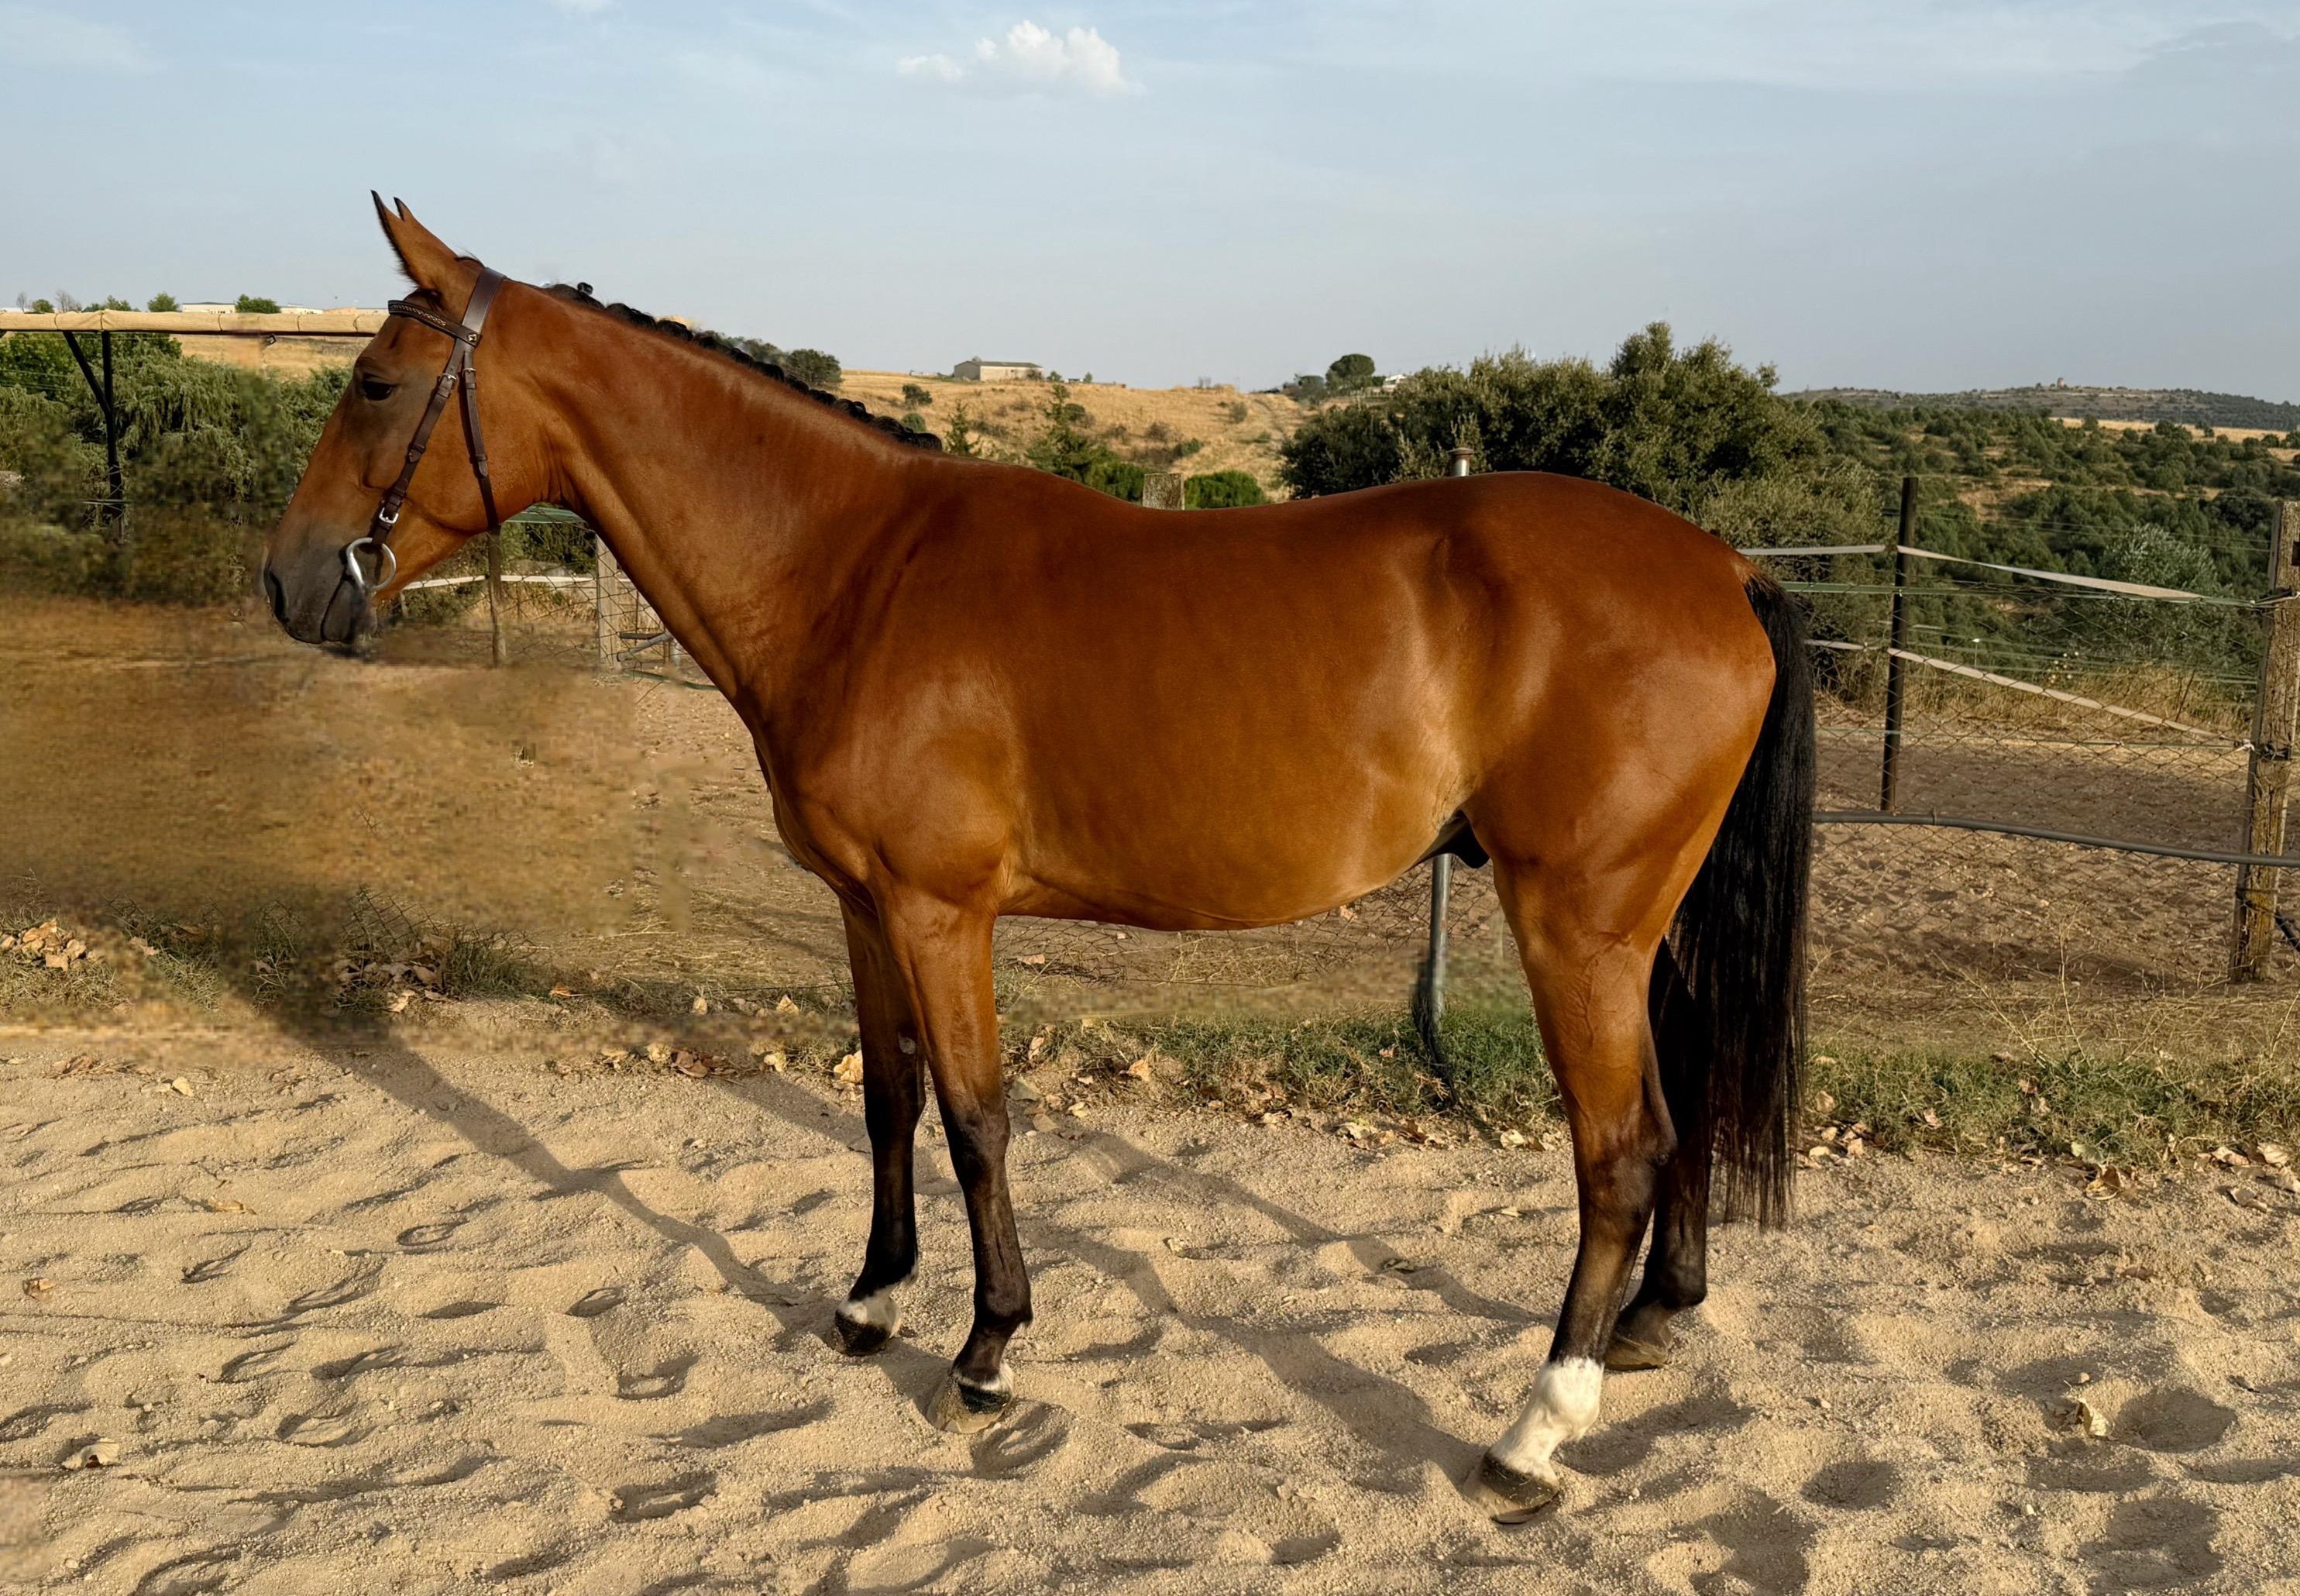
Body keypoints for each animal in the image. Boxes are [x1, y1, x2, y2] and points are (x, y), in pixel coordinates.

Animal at [263, 197, 1813, 1523]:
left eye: (378, 386)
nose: (288, 583)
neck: (853, 571)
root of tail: (1723, 566)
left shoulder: (941, 912)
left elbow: (975, 1118)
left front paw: (986, 1351)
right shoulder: (863, 908)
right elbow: (885, 1099)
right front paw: (870, 1302)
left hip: (1576, 931)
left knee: (1616, 1153)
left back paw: (1532, 1433)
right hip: (1636, 931)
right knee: (1676, 1108)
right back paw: (1652, 1325)